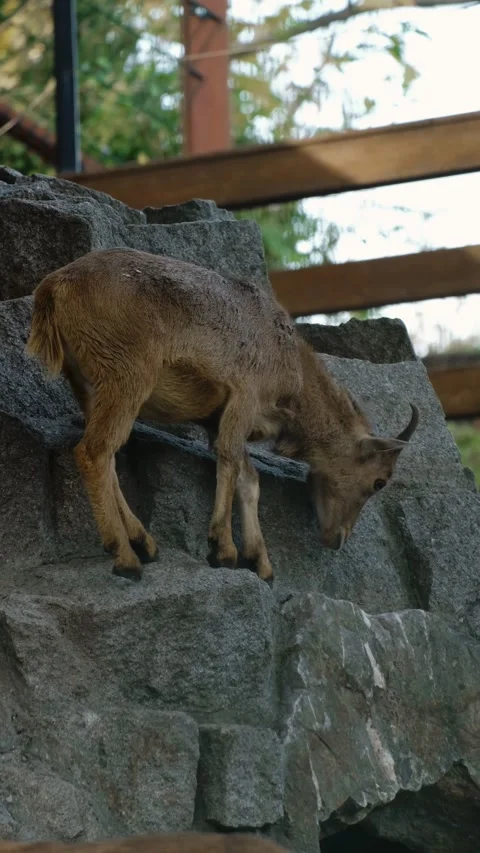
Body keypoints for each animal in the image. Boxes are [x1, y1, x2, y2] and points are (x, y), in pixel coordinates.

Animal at [26, 248, 418, 582]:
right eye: (379, 481)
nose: (337, 538)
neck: (291, 367)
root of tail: (53, 288)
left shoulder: (218, 419)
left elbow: (249, 477)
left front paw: (261, 562)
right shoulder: (243, 397)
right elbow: (229, 461)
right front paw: (224, 550)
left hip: (89, 386)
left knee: (106, 455)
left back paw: (144, 541)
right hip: (127, 377)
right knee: (94, 451)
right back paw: (125, 556)